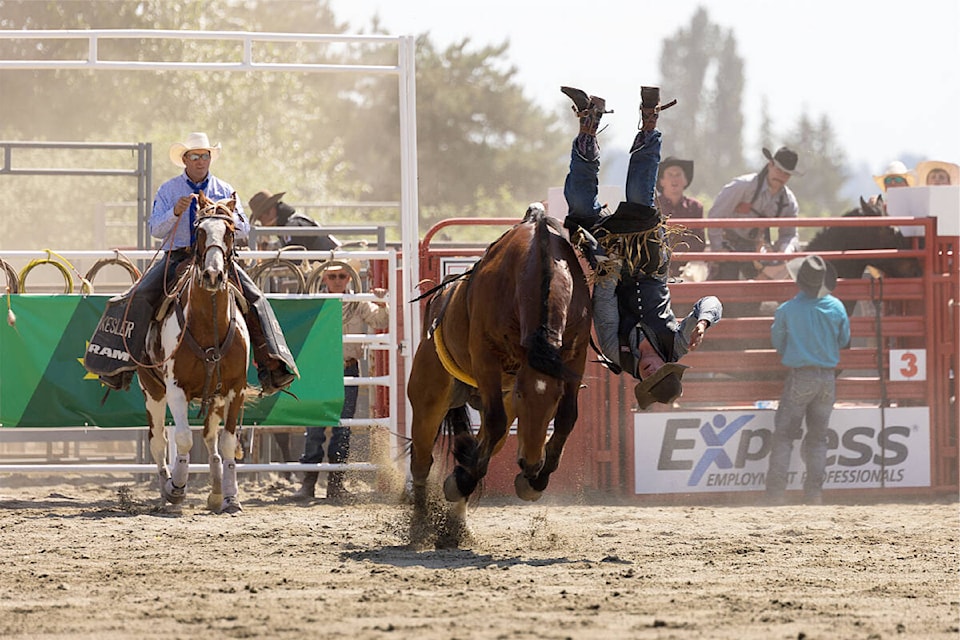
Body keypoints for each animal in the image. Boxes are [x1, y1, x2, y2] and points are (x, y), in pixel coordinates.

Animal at [140, 191, 253, 516]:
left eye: (230, 231)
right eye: (199, 230)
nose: (213, 275)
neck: (208, 323)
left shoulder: (236, 389)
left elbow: (227, 443)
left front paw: (232, 498)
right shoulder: (175, 389)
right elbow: (183, 439)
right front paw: (176, 488)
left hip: (214, 396)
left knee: (211, 438)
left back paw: (216, 491)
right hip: (152, 390)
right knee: (159, 441)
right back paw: (165, 491)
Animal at [406, 204, 592, 544]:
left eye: (554, 398)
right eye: (520, 392)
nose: (530, 463)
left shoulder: (576, 355)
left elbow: (567, 418)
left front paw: (535, 481)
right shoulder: (486, 357)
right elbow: (492, 422)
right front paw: (460, 481)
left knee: (489, 441)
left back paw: (457, 523)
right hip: (429, 398)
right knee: (422, 460)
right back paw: (420, 525)